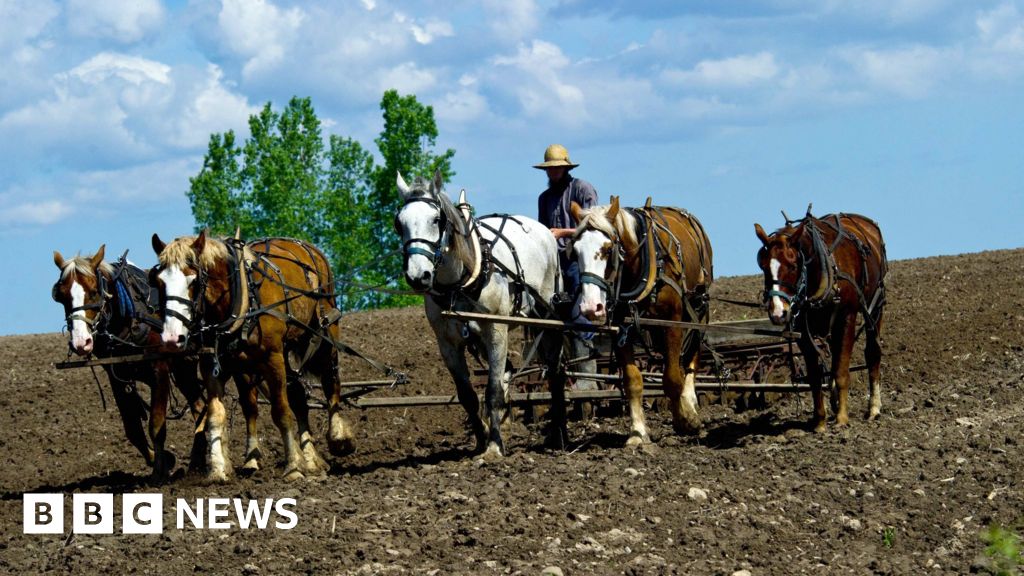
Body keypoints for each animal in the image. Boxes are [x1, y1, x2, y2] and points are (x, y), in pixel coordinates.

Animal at [51, 243, 203, 473]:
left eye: (94, 292)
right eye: (61, 296)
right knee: (200, 406)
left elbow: (156, 424)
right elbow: (132, 429)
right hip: (184, 368)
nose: (80, 343)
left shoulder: (160, 370)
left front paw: (159, 470)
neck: (129, 317)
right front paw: (161, 459)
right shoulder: (118, 377)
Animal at [149, 230, 354, 481]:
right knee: (292, 398)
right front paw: (219, 470)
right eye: (159, 282)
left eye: (193, 281)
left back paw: (338, 438)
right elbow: (216, 415)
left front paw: (294, 467)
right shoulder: (211, 364)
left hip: (325, 334)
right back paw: (305, 458)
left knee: (330, 381)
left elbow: (281, 412)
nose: (171, 336)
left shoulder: (273, 359)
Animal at [393, 170, 569, 457]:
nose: (418, 276)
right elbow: (467, 395)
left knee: (555, 372)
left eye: (436, 220)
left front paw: (494, 446)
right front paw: (481, 439)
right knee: (510, 372)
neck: (462, 280)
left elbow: (494, 390)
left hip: (547, 316)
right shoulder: (447, 344)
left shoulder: (496, 332)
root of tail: (545, 233)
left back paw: (559, 434)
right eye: (399, 223)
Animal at [569, 196, 712, 444]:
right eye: (575, 251)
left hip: (698, 309)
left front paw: (685, 421)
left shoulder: (672, 321)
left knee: (692, 354)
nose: (590, 307)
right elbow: (632, 380)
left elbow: (672, 377)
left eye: (608, 249)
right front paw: (637, 433)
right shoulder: (621, 328)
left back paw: (690, 402)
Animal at [753, 208, 888, 428]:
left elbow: (842, 371)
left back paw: (873, 408)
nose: (778, 313)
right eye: (764, 266)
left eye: (792, 266)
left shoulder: (846, 317)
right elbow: (816, 376)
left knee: (872, 352)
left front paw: (842, 419)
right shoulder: (802, 329)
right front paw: (820, 422)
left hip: (876, 305)